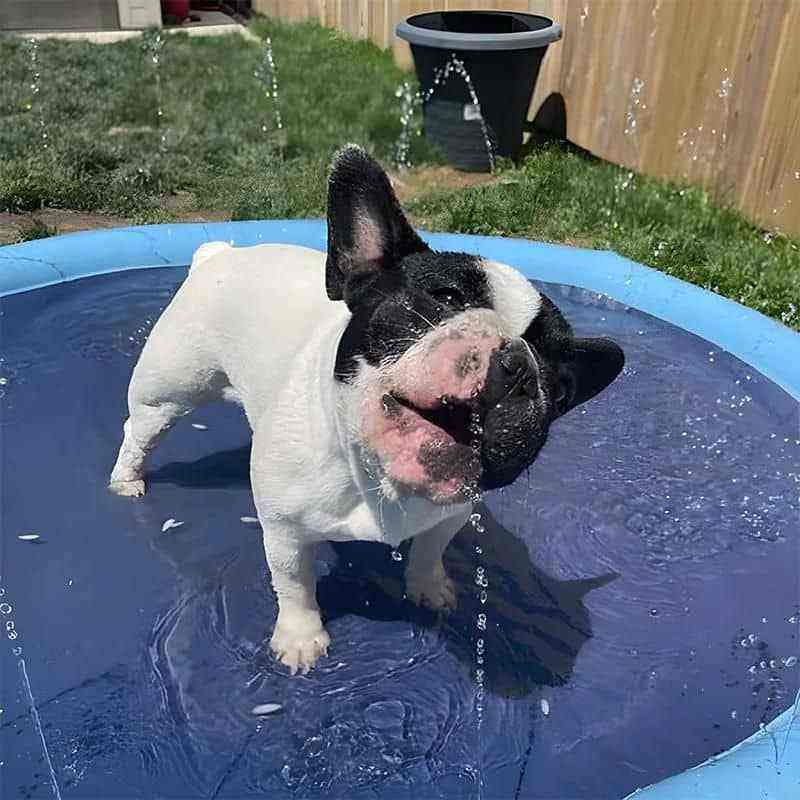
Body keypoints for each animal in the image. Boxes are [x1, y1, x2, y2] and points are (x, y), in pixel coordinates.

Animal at [108, 145, 624, 676]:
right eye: (446, 298)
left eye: (559, 386)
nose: (519, 361)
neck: (378, 475)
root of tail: (222, 253)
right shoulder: (285, 531)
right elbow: (294, 584)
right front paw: (300, 638)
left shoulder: (451, 514)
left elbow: (430, 551)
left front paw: (429, 587)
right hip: (172, 386)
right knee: (140, 428)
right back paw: (127, 479)